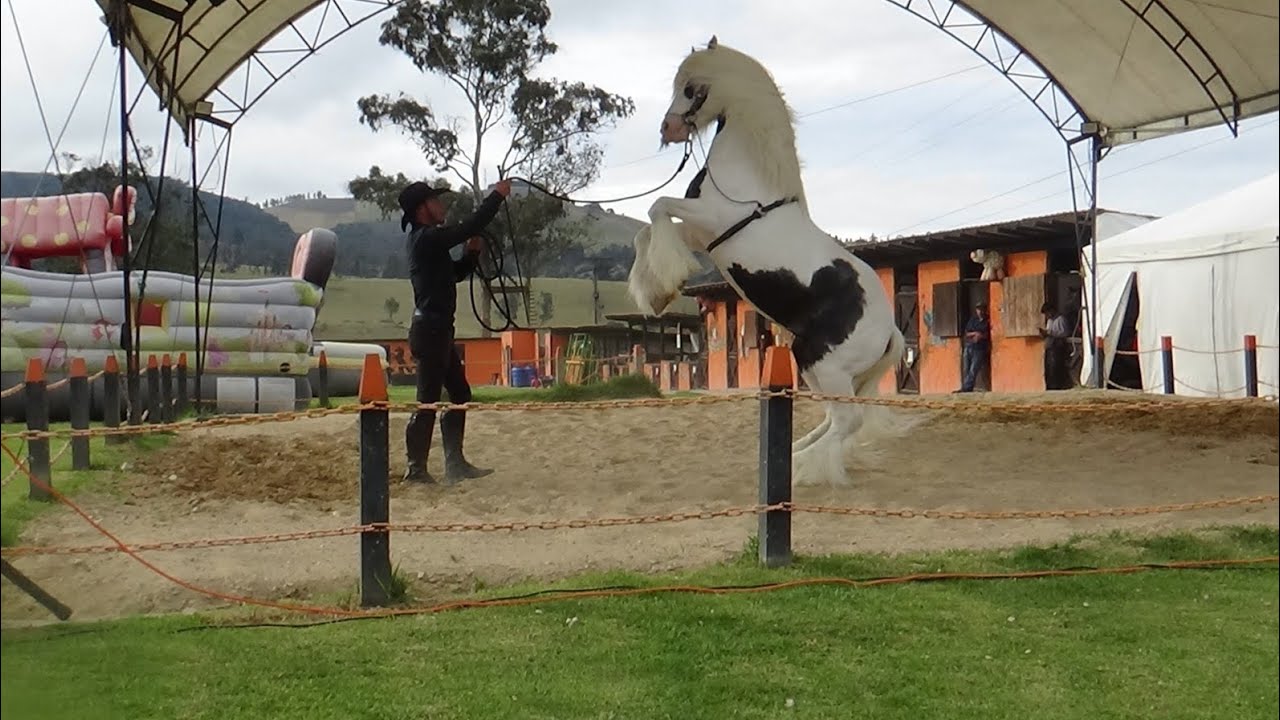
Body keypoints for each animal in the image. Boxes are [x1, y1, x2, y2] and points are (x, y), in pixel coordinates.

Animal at [627, 36, 906, 487]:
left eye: (691, 89)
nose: (668, 130)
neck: (749, 181)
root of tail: (890, 332)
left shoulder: (711, 218)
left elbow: (657, 205)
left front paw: (668, 281)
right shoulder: (703, 235)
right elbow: (646, 230)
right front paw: (656, 294)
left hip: (822, 363)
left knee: (848, 421)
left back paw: (804, 467)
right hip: (818, 368)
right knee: (835, 419)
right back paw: (799, 452)